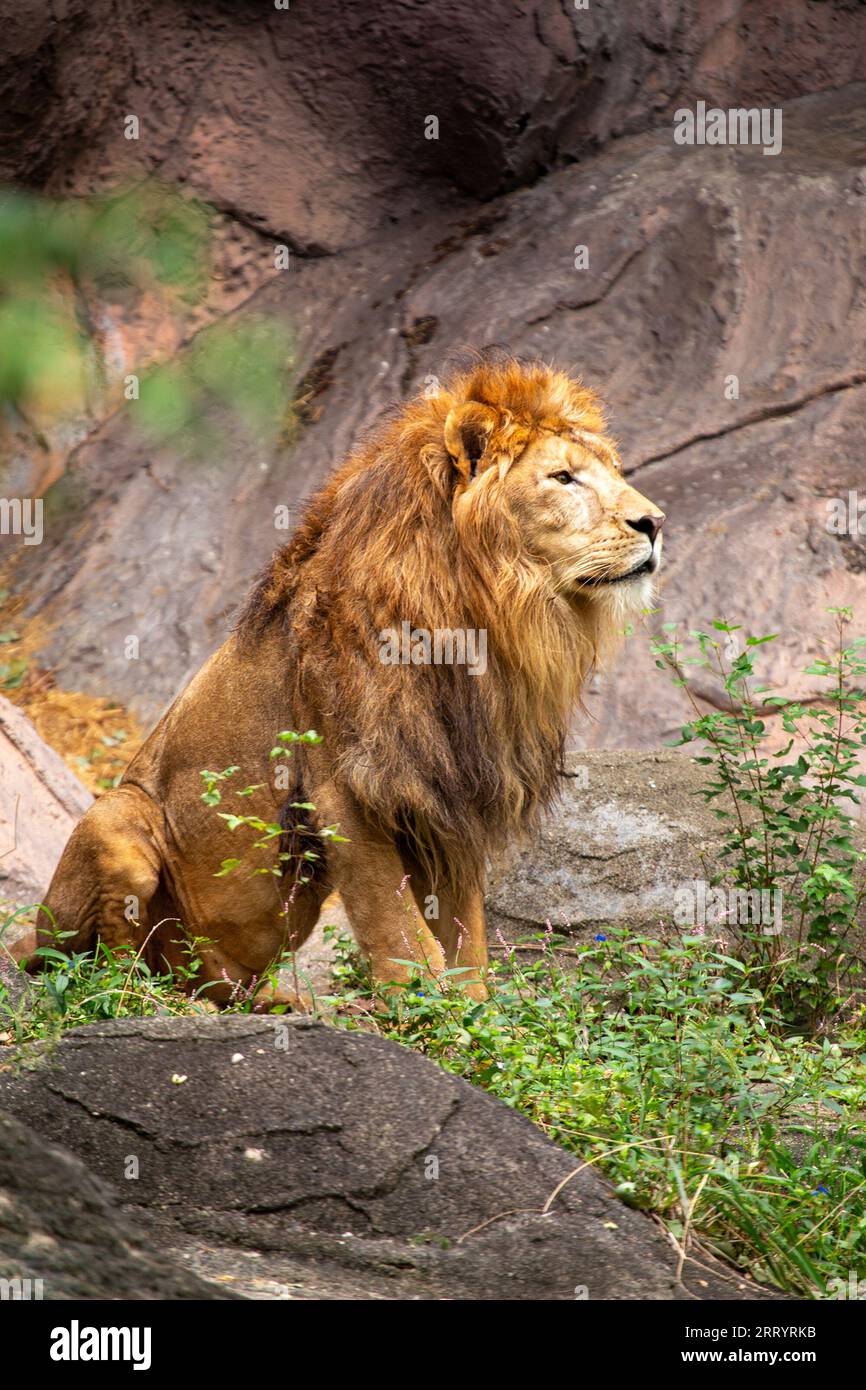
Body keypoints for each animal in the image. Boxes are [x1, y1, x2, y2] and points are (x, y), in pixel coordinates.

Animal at [33, 358, 664, 1006]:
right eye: (563, 477)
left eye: (612, 471)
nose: (655, 523)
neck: (485, 614)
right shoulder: (344, 783)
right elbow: (395, 917)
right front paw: (422, 1004)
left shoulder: (451, 785)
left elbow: (464, 924)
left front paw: (475, 1007)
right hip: (116, 819)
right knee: (98, 964)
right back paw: (146, 996)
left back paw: (267, 1001)